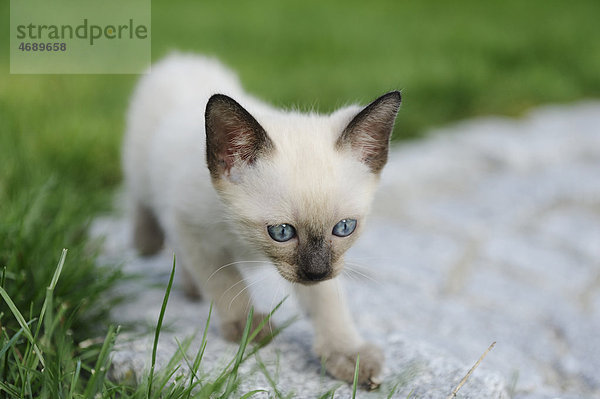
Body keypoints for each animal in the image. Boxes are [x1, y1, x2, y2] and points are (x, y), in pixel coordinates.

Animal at [122, 54, 400, 386]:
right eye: (281, 232)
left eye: (344, 228)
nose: (316, 272)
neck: (248, 246)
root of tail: (182, 59)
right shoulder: (189, 228)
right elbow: (226, 283)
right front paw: (248, 328)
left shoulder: (328, 265)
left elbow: (328, 303)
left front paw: (349, 356)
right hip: (143, 176)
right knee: (141, 203)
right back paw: (147, 244)